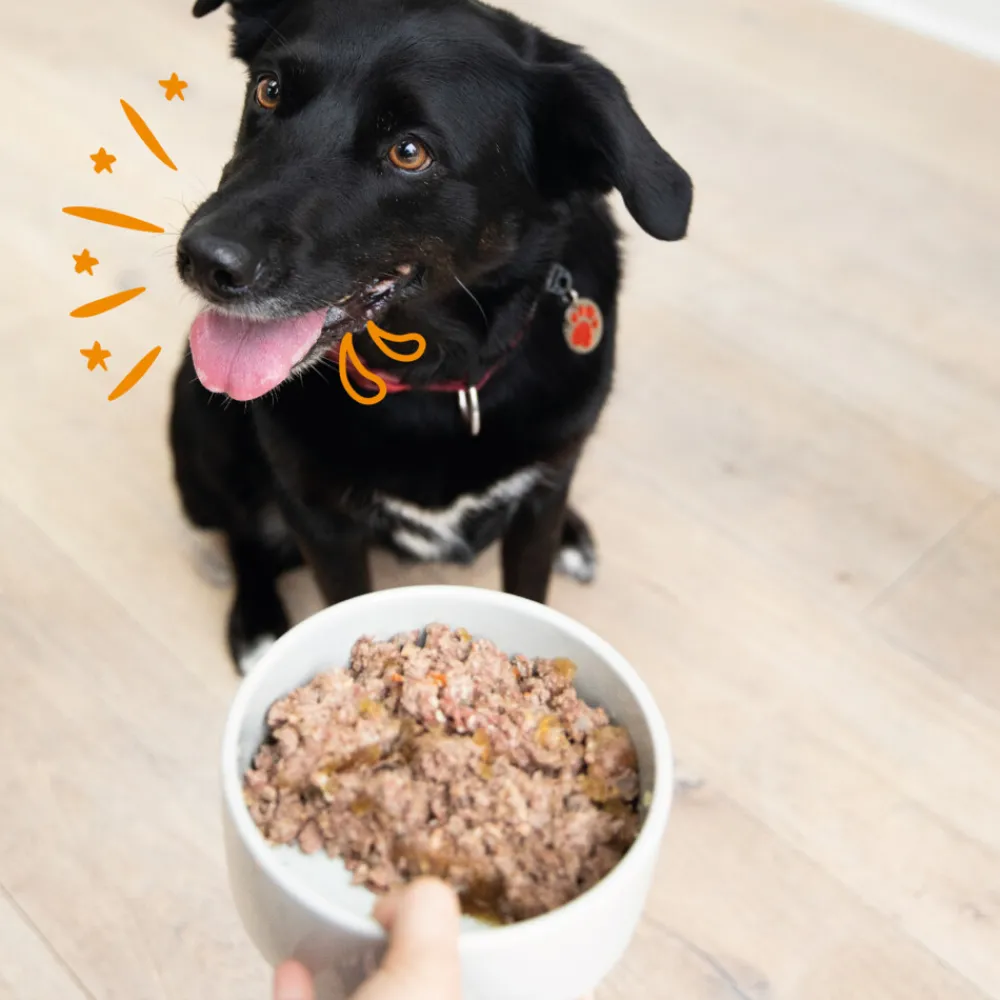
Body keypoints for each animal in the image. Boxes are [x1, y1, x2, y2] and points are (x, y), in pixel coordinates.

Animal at [169, 0, 693, 674]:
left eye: (410, 152)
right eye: (269, 89)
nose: (204, 260)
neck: (440, 375)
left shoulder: (538, 504)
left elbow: (532, 584)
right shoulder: (320, 519)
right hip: (198, 418)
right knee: (241, 535)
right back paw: (257, 622)